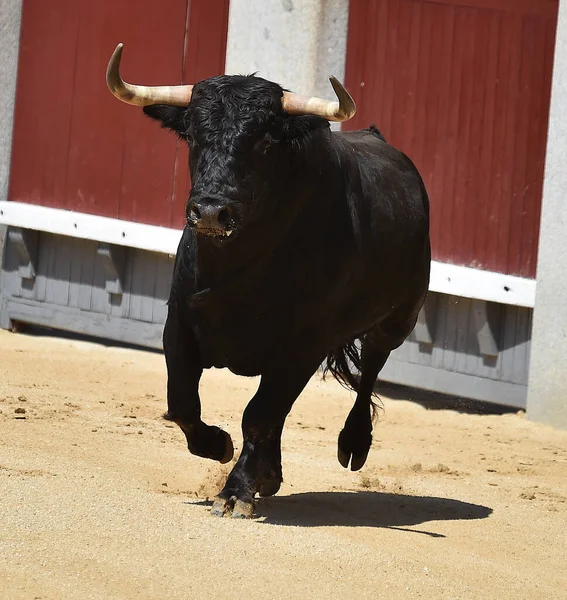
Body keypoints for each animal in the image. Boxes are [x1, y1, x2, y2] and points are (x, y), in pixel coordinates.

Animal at [142, 74, 430, 516]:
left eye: (264, 142)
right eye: (191, 135)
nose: (210, 212)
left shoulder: (303, 346)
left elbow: (259, 416)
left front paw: (235, 493)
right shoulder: (180, 325)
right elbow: (183, 404)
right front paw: (220, 447)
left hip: (399, 318)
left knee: (371, 366)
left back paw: (353, 444)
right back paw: (269, 474)